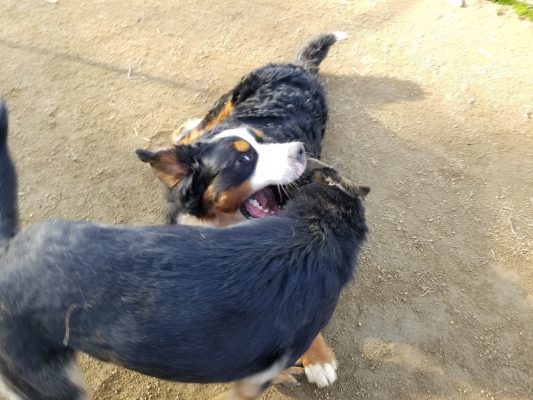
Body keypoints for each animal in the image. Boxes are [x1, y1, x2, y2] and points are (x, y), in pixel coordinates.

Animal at [137, 33, 346, 386]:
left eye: (267, 141)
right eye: (245, 158)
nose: (301, 151)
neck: (226, 224)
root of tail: (298, 66)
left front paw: (318, 358)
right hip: (229, 100)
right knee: (200, 127)